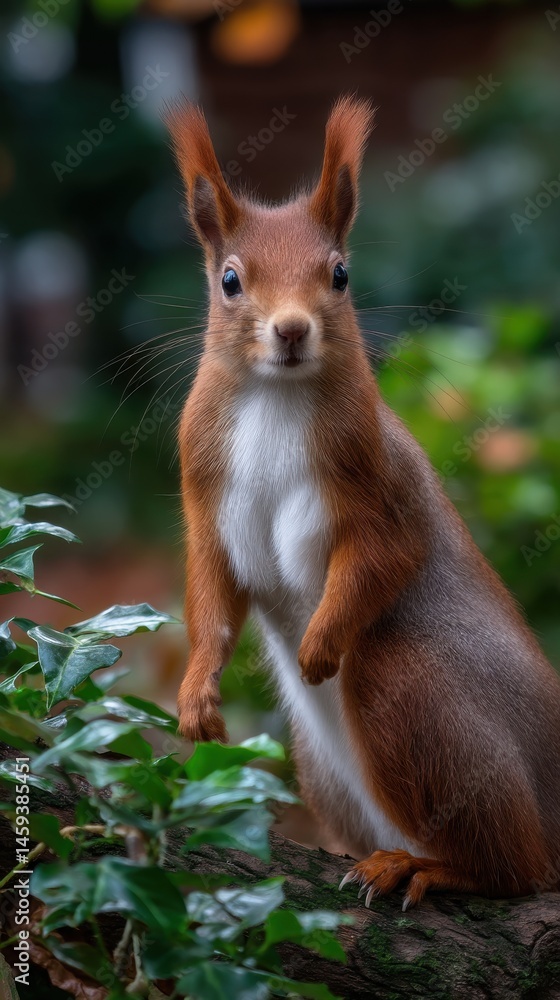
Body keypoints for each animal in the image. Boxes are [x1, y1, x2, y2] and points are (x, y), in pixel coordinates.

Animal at [166, 96, 560, 909]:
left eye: (340, 274)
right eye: (229, 280)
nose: (291, 330)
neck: (275, 398)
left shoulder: (379, 478)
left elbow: (387, 556)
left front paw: (318, 647)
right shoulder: (203, 489)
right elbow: (212, 591)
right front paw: (195, 696)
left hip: (414, 694)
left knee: (522, 871)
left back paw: (425, 866)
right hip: (323, 771)